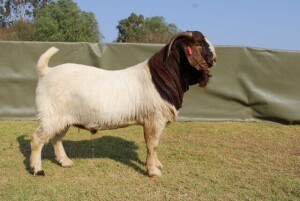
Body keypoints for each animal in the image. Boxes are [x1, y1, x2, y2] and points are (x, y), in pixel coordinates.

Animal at [30, 30, 216, 177]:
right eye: (198, 43)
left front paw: (156, 164)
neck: (161, 77)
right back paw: (38, 169)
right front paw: (153, 171)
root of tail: (46, 72)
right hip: (50, 116)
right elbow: (152, 144)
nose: (214, 57)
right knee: (38, 139)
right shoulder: (153, 119)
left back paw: (65, 162)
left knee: (56, 139)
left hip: (63, 119)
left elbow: (155, 144)